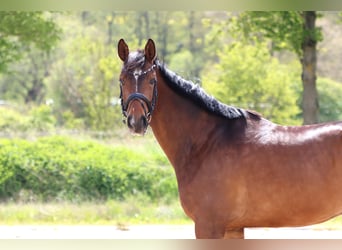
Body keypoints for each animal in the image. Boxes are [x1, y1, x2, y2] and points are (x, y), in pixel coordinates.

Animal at [117, 38, 342, 239]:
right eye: (121, 80)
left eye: (152, 81)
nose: (136, 122)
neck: (206, 142)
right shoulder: (232, 228)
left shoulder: (208, 226)